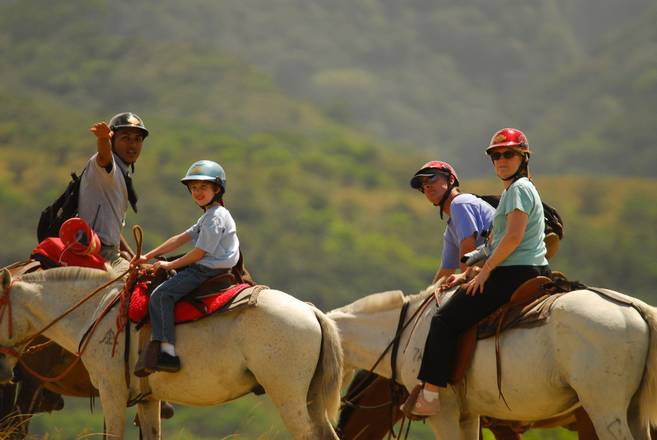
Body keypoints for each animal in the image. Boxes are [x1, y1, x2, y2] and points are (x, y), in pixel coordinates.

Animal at [0, 266, 340, 438]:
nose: (4, 371)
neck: (97, 310)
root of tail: (310, 311)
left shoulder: (112, 392)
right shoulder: (147, 399)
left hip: (288, 398)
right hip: (310, 399)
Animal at [328, 284, 657, 438]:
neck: (409, 331)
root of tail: (635, 308)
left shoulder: (444, 414)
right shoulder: (469, 415)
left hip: (603, 412)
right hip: (630, 413)